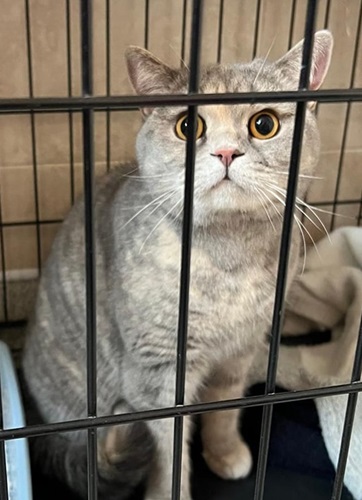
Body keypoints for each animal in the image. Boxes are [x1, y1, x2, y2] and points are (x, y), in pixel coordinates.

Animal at [21, 30, 334, 500]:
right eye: (189, 126)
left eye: (264, 124)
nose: (226, 152)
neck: (229, 262)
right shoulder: (158, 372)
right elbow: (171, 450)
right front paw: (171, 490)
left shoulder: (240, 352)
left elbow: (224, 412)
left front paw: (226, 453)